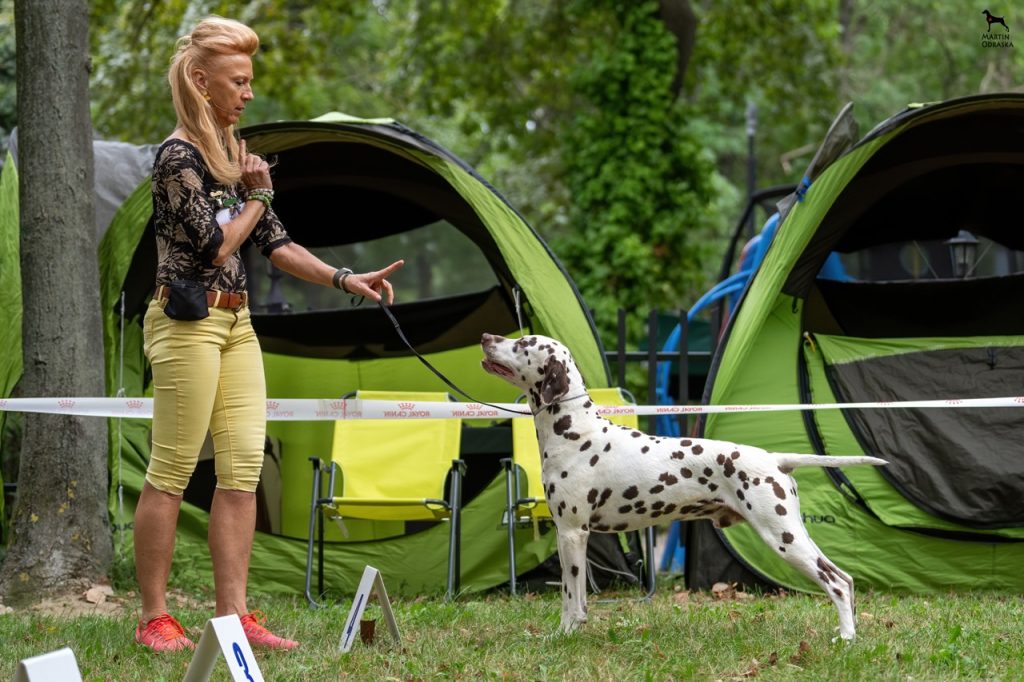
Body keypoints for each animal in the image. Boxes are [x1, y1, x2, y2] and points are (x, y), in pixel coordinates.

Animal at [480, 333, 887, 641]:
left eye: (523, 343)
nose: (486, 337)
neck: (575, 430)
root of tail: (774, 458)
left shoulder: (571, 533)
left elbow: (569, 596)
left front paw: (563, 635)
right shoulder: (574, 535)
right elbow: (577, 599)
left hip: (783, 536)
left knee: (836, 582)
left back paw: (846, 638)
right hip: (791, 532)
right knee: (846, 579)